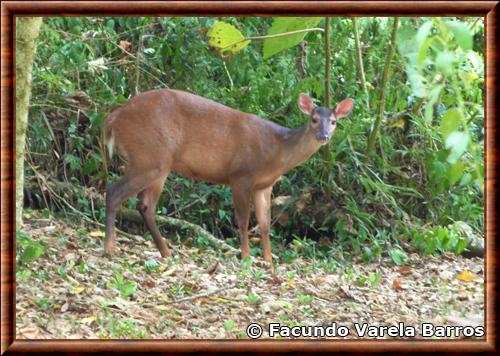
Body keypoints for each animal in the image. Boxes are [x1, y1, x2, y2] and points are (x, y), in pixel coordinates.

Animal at [103, 89, 356, 270]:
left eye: (334, 121)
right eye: (314, 119)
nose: (324, 136)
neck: (277, 150)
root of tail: (114, 118)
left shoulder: (264, 185)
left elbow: (265, 223)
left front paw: (269, 261)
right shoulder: (240, 175)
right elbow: (243, 220)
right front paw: (245, 257)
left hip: (157, 163)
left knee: (145, 204)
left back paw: (165, 251)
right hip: (150, 156)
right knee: (114, 192)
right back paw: (110, 247)